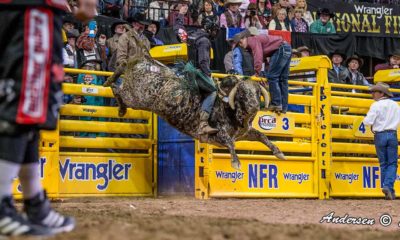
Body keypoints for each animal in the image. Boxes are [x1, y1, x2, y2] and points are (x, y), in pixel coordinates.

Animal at [103, 55, 284, 170]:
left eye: (257, 93)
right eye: (241, 93)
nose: (254, 106)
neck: (228, 107)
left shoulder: (244, 133)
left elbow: (262, 136)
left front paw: (279, 153)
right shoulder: (218, 135)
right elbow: (230, 143)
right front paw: (236, 163)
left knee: (122, 68)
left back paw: (112, 82)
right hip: (136, 97)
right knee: (118, 90)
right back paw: (118, 101)